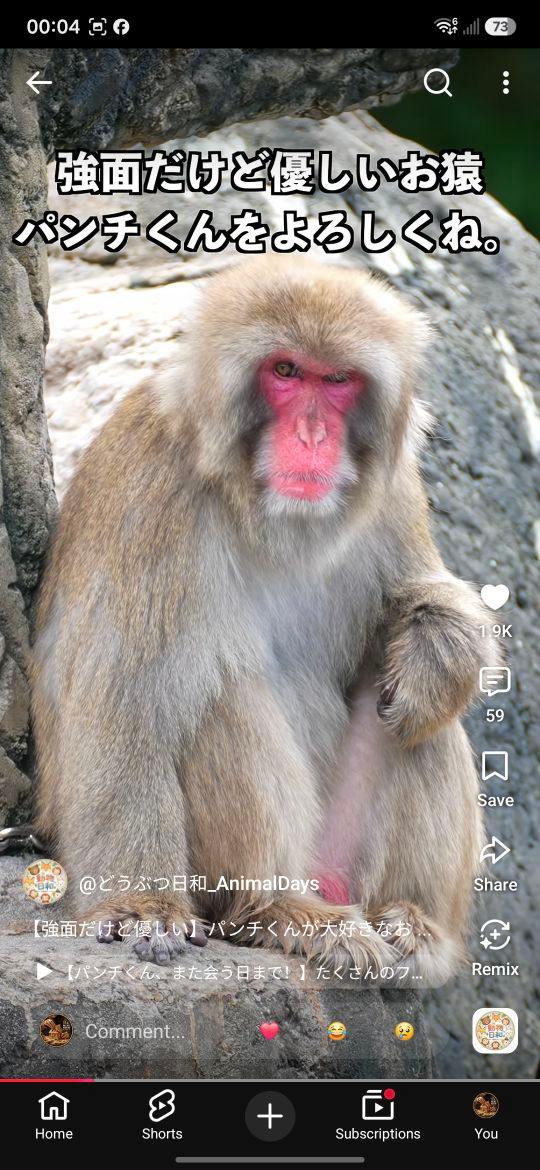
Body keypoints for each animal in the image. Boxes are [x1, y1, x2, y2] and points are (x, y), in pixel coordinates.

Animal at [31, 256, 501, 981]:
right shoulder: (148, 482)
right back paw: (281, 910)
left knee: (423, 724)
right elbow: (125, 701)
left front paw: (439, 650)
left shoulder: (395, 485)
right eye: (285, 371)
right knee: (220, 698)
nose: (312, 435)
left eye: (337, 380)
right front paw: (140, 906)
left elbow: (418, 601)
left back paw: (412, 923)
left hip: (345, 853)